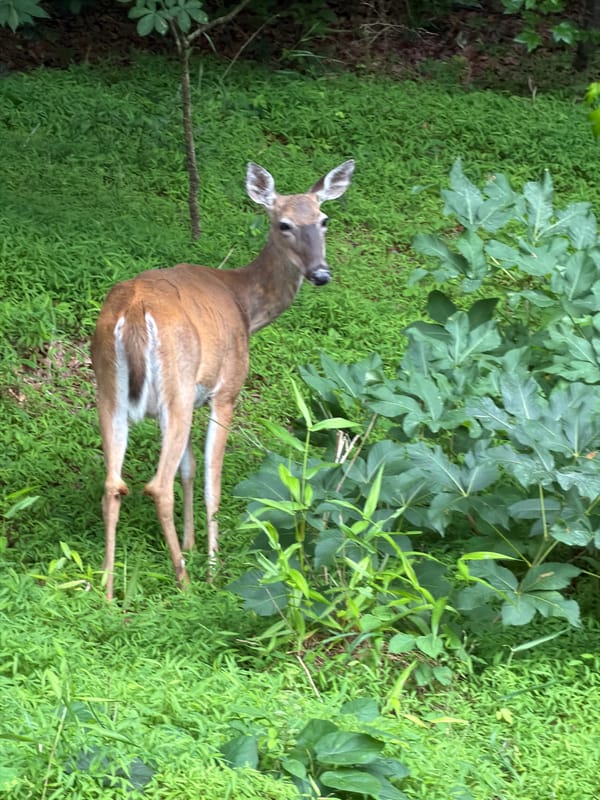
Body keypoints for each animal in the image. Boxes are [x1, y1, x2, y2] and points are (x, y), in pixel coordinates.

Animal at [91, 159, 355, 600]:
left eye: (323, 219)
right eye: (283, 224)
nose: (320, 273)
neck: (244, 305)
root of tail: (135, 312)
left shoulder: (188, 400)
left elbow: (189, 468)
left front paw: (192, 544)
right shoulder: (225, 390)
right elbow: (211, 477)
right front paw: (212, 565)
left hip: (110, 389)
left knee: (114, 483)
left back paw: (109, 590)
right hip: (176, 386)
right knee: (156, 485)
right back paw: (184, 582)